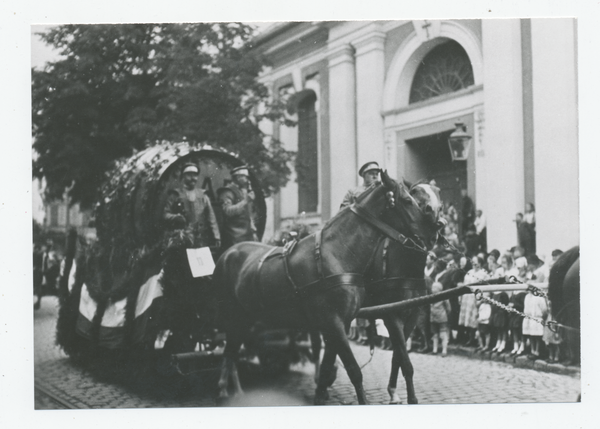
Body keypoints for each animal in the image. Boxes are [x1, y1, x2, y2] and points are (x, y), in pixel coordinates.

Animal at [213, 171, 442, 404]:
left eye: (437, 194)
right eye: (409, 199)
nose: (435, 229)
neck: (337, 252)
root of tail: (228, 252)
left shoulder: (368, 318)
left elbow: (396, 358)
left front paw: (322, 390)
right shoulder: (343, 320)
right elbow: (355, 370)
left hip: (247, 319)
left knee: (234, 350)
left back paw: (232, 390)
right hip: (234, 318)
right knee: (230, 351)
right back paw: (225, 390)